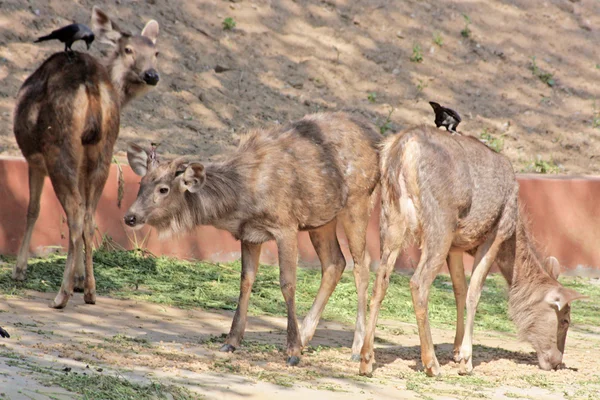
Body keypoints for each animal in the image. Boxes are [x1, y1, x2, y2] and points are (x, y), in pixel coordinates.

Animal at [12, 6, 162, 310]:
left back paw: (62, 294)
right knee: (90, 217)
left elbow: (32, 210)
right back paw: (90, 291)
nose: (152, 75)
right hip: (103, 151)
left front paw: (19, 270)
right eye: (128, 49)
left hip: (59, 147)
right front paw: (81, 278)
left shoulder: (34, 160)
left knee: (75, 214)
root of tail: (91, 85)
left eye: (156, 52)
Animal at [124, 113, 380, 366]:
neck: (242, 198)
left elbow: (287, 283)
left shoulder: (286, 225)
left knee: (362, 265)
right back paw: (306, 336)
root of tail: (376, 137)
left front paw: (292, 352)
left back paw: (355, 349)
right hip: (322, 217)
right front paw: (231, 341)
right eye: (141, 183)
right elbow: (245, 280)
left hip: (358, 199)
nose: (130, 217)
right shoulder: (250, 234)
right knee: (335, 262)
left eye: (163, 189)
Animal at [358, 126, 584, 378]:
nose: (557, 362)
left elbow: (460, 288)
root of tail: (403, 149)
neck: (515, 232)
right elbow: (474, 291)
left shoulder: (456, 246)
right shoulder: (497, 231)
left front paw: (457, 351)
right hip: (440, 223)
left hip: (390, 218)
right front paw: (466, 360)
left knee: (381, 279)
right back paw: (431, 363)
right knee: (418, 282)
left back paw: (366, 360)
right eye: (565, 319)